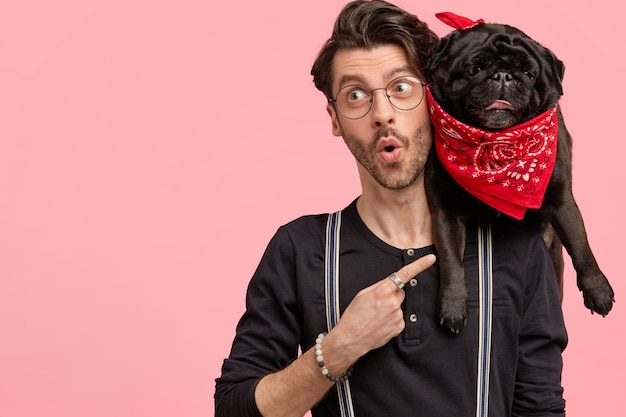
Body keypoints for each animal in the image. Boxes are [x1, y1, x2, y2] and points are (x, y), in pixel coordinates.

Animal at [422, 11, 612, 334]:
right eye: (475, 68)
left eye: (528, 73)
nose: (503, 76)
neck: (497, 144)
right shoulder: (445, 211)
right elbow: (450, 260)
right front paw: (453, 306)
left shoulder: (560, 200)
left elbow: (581, 245)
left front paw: (597, 290)